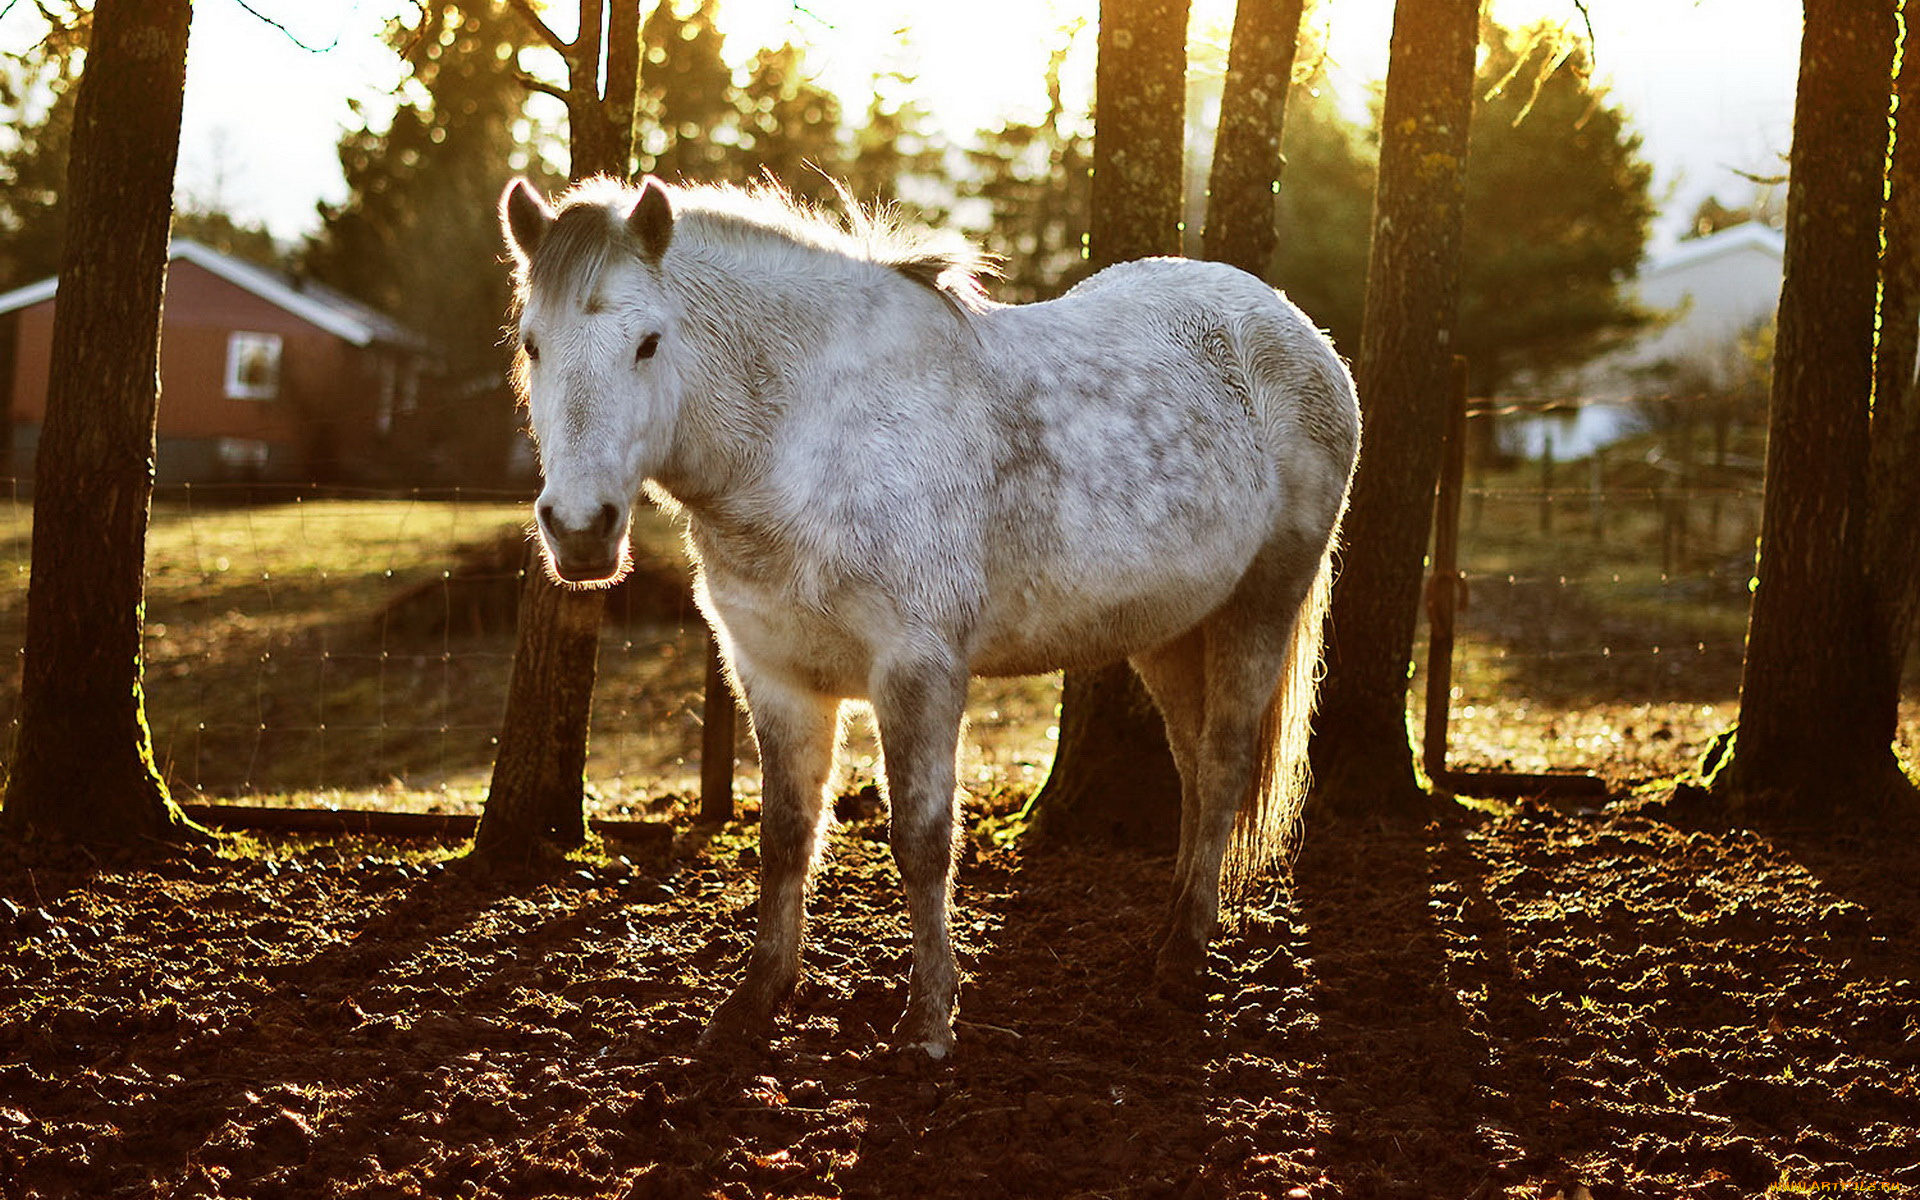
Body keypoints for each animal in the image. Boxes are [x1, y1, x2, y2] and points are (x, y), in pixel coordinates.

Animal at [503, 172, 1359, 1052]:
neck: (811, 436)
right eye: (532, 344)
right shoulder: (774, 675)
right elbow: (785, 835)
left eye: (647, 343)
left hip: (1262, 603)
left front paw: (928, 1020)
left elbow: (921, 841)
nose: (580, 528)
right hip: (1171, 628)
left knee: (1222, 764)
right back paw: (1174, 928)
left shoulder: (917, 670)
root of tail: (1294, 328)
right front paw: (758, 995)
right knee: (1191, 768)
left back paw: (1186, 955)